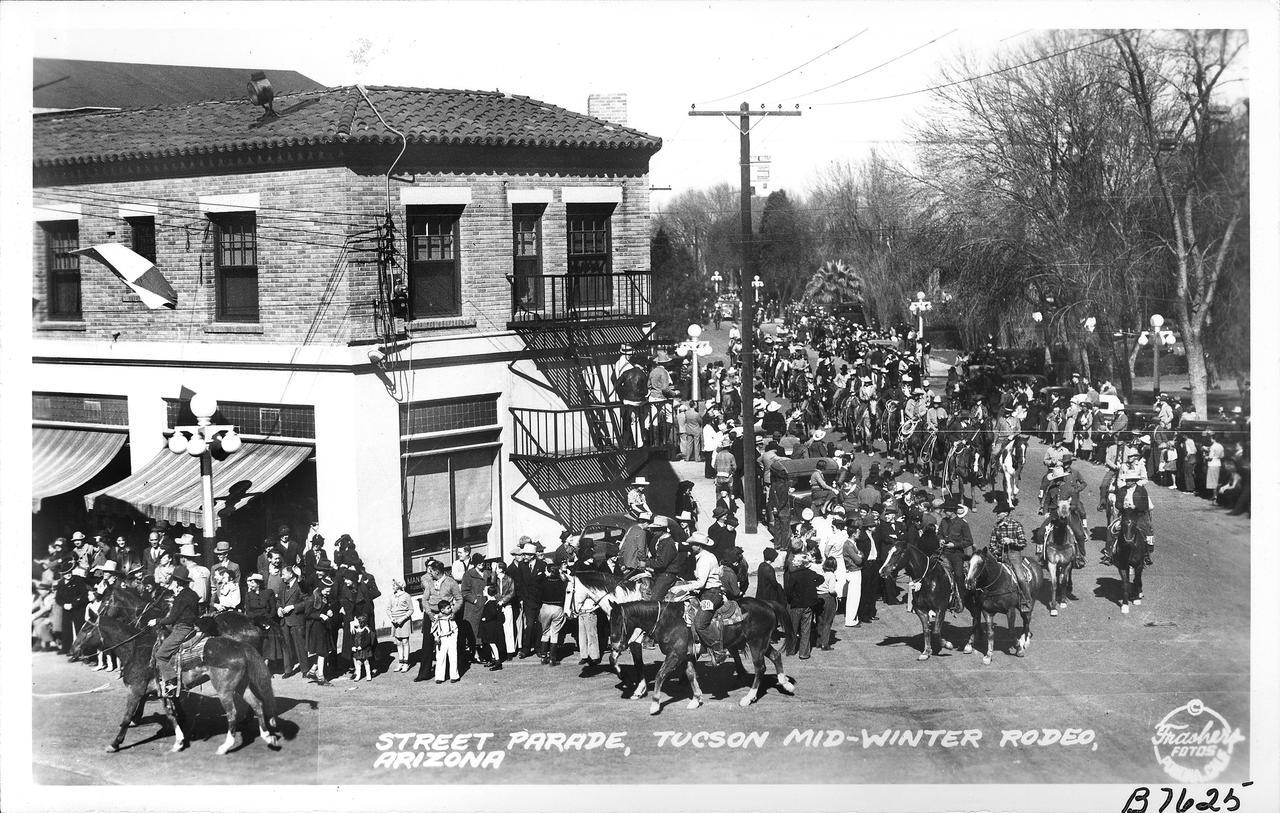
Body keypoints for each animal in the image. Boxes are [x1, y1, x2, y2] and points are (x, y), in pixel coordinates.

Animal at [72, 586, 280, 757]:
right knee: (256, 703)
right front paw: (179, 735)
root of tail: (250, 623)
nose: (73, 651)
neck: (136, 647)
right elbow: (171, 711)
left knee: (237, 711)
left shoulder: (136, 689)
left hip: (226, 688)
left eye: (85, 629)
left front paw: (117, 741)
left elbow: (127, 716)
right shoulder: (162, 688)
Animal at [599, 591, 788, 716]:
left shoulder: (675, 655)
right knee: (776, 656)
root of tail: (767, 604)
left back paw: (748, 698)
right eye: (609, 621)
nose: (615, 646)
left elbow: (660, 675)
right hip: (762, 643)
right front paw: (696, 699)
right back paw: (785, 683)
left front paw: (655, 704)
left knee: (760, 668)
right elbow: (690, 675)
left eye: (618, 621)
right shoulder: (686, 655)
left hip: (756, 643)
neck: (667, 621)